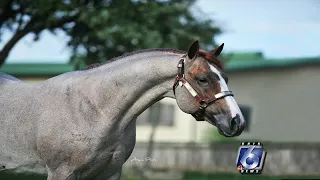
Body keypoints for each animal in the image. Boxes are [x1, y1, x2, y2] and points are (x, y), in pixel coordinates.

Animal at [0, 40, 245, 179]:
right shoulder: (62, 173)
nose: (237, 121)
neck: (95, 109)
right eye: (203, 79)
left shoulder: (110, 173)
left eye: (225, 77)